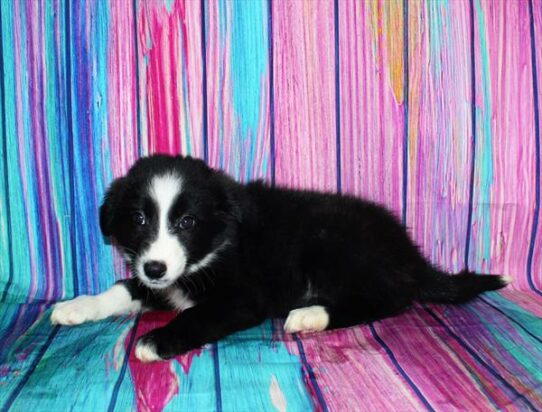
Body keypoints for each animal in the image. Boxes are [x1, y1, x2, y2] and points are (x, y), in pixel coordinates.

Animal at [50, 154, 510, 360]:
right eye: (140, 219)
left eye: (186, 222)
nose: (155, 267)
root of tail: (408, 253)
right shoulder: (162, 280)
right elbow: (123, 288)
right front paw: (78, 306)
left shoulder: (242, 297)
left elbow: (198, 314)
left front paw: (156, 340)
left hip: (334, 244)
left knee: (387, 300)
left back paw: (311, 315)